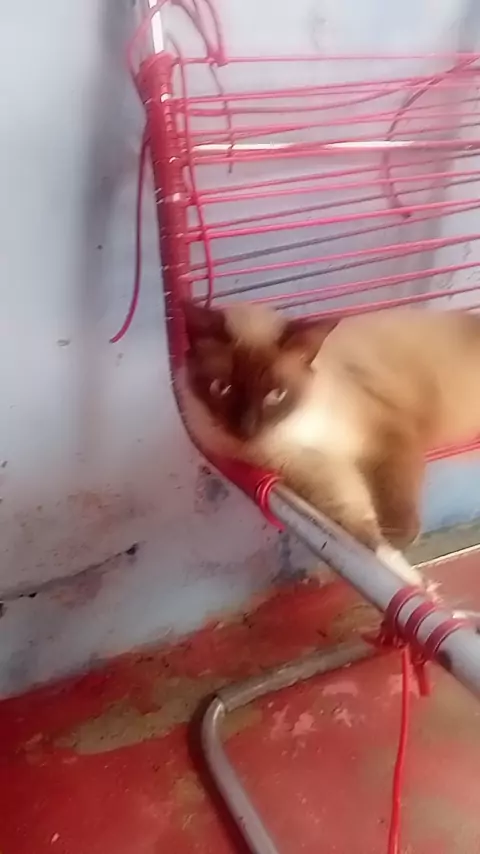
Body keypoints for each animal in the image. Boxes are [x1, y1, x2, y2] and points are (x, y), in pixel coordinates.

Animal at [180, 300, 480, 588]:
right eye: (222, 388)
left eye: (276, 395)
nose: (247, 427)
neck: (297, 428)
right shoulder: (316, 474)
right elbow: (362, 540)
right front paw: (415, 582)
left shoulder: (388, 435)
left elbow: (398, 507)